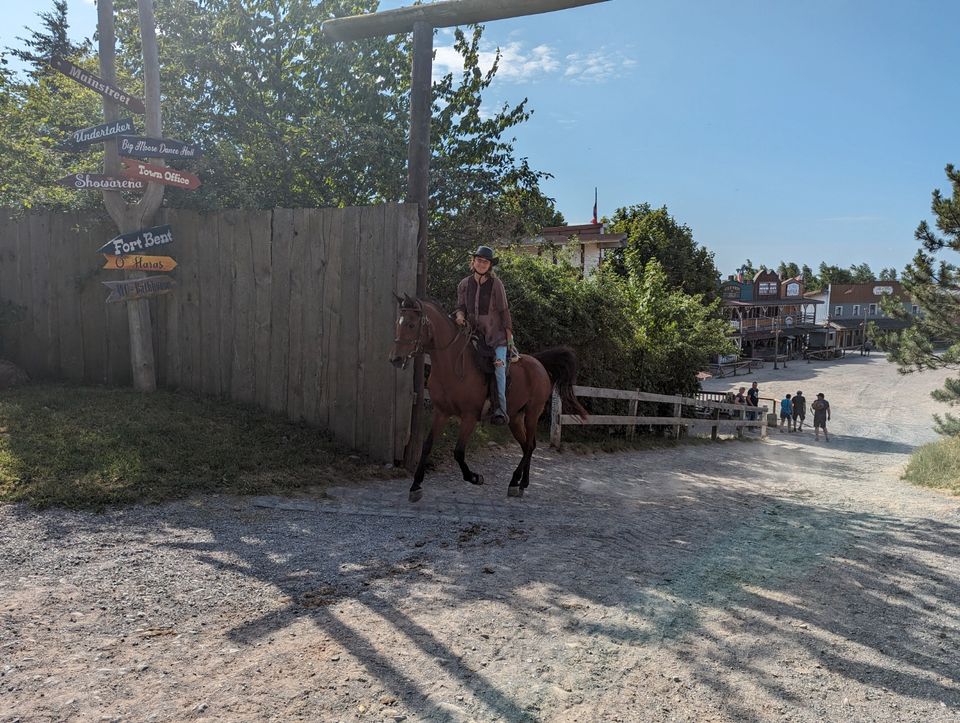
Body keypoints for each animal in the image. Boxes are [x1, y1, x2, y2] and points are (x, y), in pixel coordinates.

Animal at [388, 294, 584, 504]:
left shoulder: (469, 416)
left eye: (411, 324)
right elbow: (427, 446)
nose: (395, 359)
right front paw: (415, 486)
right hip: (515, 418)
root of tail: (539, 363)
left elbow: (458, 452)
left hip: (533, 413)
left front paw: (475, 477)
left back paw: (517, 482)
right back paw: (519, 483)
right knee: (526, 446)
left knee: (530, 446)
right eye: (398, 322)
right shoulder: (440, 412)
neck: (453, 365)